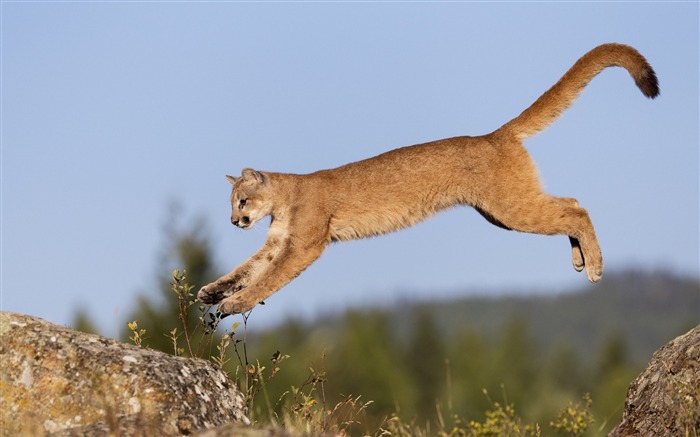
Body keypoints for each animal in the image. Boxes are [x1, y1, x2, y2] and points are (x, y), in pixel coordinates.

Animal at [200, 42, 660, 314]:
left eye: (242, 201)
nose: (234, 221)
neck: (283, 200)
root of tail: (495, 134)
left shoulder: (304, 244)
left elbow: (269, 279)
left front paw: (235, 304)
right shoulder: (276, 243)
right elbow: (247, 268)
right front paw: (212, 291)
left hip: (509, 207)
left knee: (576, 209)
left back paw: (595, 266)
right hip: (501, 211)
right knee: (571, 203)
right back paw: (580, 259)